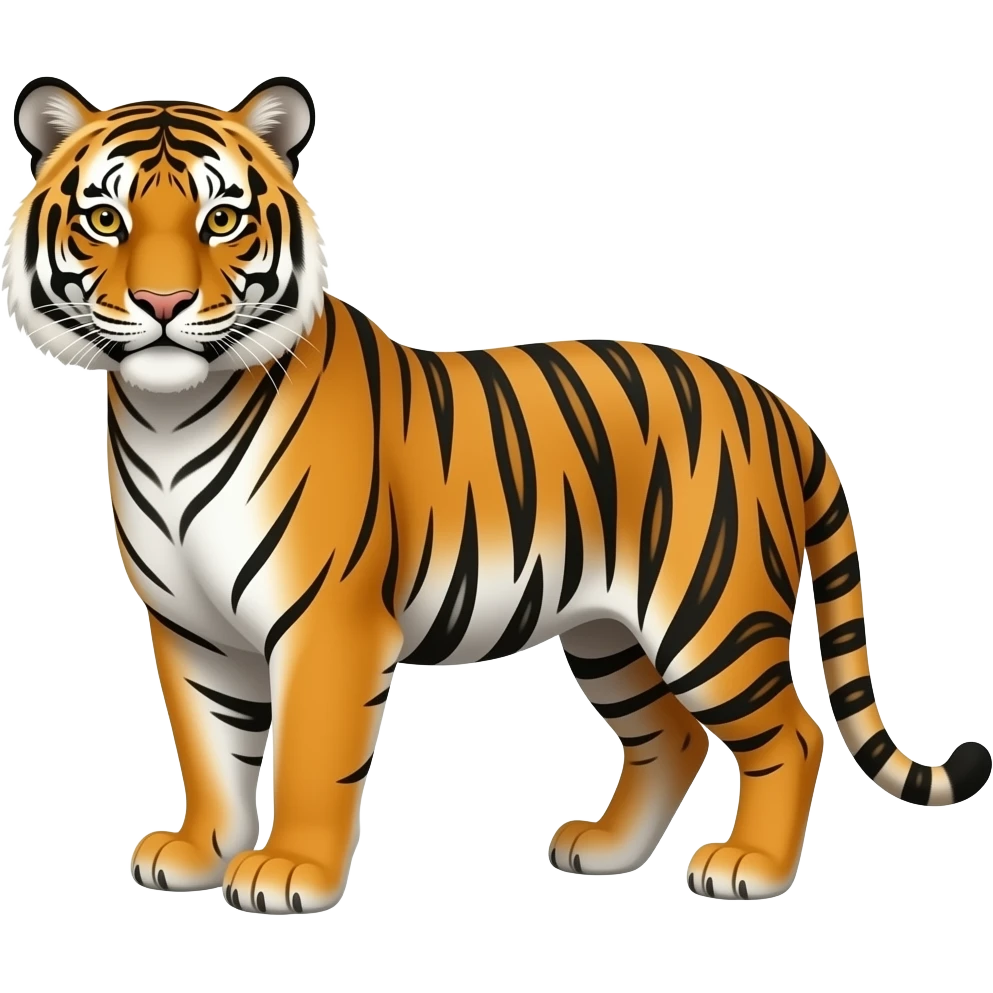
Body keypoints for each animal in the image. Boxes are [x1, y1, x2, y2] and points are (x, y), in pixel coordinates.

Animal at [5, 73, 990, 916]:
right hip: (607, 632)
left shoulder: (327, 623)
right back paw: (605, 849)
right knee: (668, 736)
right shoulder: (190, 627)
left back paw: (748, 867)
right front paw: (199, 851)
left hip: (711, 616)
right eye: (104, 218)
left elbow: (309, 757)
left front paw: (289, 872)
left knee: (790, 734)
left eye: (220, 219)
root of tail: (778, 405)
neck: (170, 415)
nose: (163, 302)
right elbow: (210, 749)